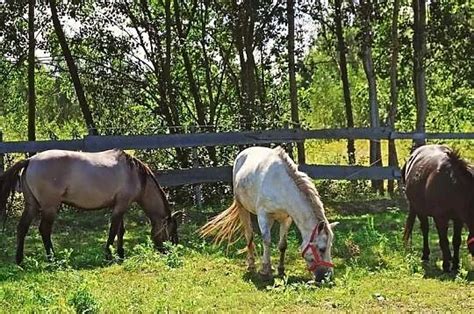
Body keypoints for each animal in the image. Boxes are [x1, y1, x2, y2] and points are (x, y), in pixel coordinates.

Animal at [0, 148, 181, 264]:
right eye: (171, 231)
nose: (171, 251)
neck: (135, 175)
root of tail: (30, 160)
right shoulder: (121, 205)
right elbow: (113, 230)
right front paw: (108, 255)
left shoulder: (119, 205)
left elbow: (120, 230)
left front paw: (120, 254)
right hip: (49, 207)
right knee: (44, 230)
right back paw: (53, 259)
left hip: (31, 205)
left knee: (22, 228)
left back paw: (20, 260)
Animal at [200, 146, 336, 280]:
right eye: (322, 249)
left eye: (330, 247)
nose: (327, 276)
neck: (281, 186)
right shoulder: (263, 215)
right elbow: (266, 240)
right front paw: (265, 270)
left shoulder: (286, 219)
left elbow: (283, 245)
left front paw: (281, 269)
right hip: (242, 208)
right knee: (249, 235)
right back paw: (251, 264)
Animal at [404, 144, 474, 272]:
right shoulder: (440, 219)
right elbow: (444, 241)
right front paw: (446, 266)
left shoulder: (458, 219)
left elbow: (456, 240)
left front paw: (455, 264)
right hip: (419, 210)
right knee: (425, 230)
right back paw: (425, 255)